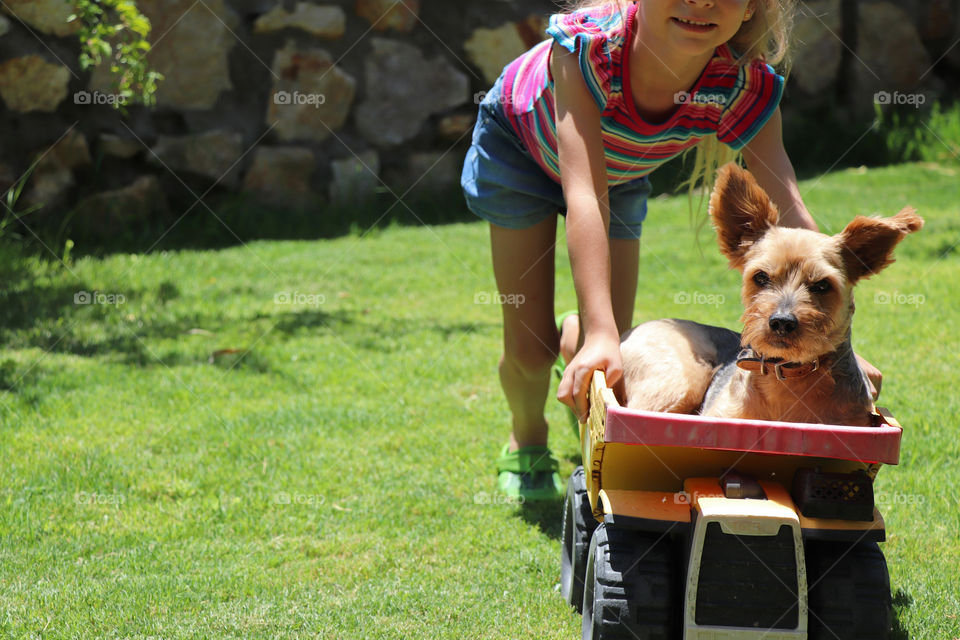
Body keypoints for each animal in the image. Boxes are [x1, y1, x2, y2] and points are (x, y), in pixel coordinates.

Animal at [624, 165, 924, 424]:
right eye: (761, 277)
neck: (787, 378)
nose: (781, 322)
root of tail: (631, 330)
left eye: (822, 285)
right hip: (679, 381)